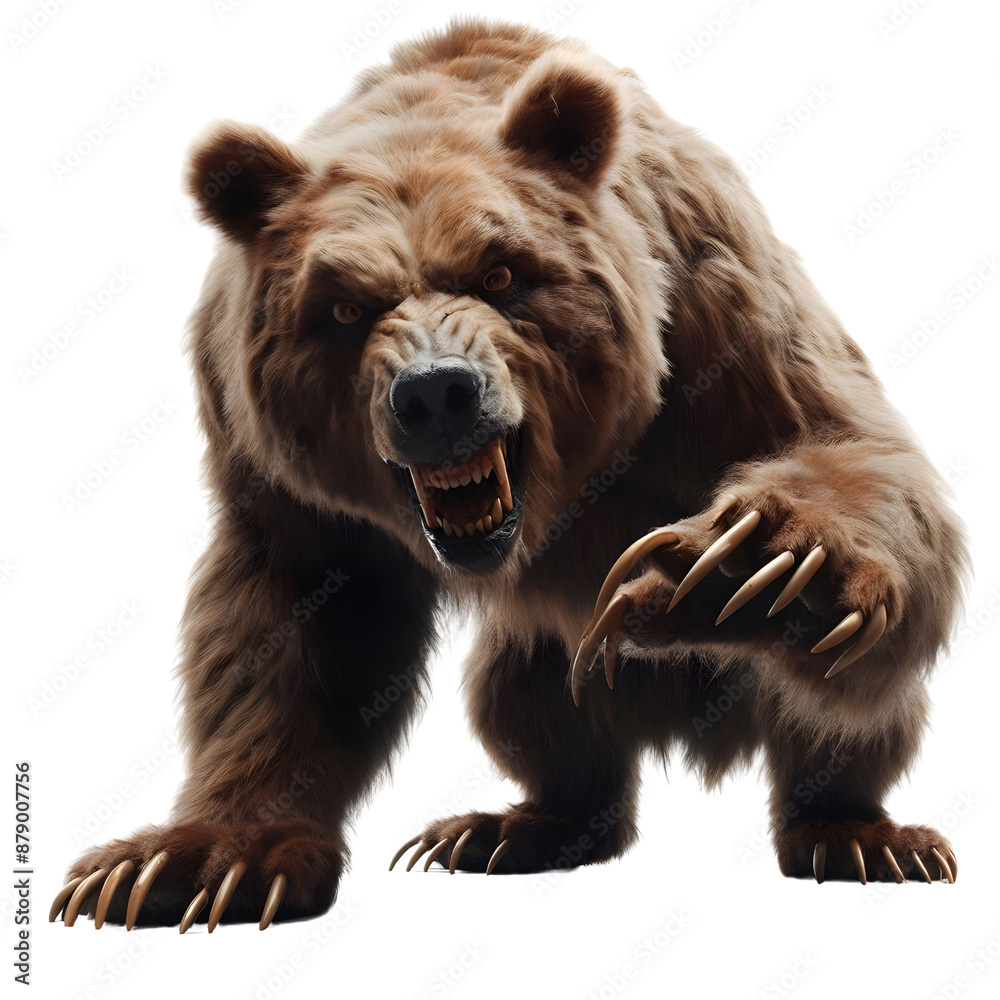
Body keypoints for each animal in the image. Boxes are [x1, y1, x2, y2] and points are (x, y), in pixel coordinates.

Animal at [51, 17, 967, 932]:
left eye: (500, 273)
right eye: (344, 307)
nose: (436, 393)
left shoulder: (714, 298)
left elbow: (848, 447)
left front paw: (742, 572)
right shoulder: (277, 472)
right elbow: (290, 627)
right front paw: (191, 864)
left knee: (851, 719)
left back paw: (859, 835)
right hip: (541, 670)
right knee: (529, 709)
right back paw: (510, 829)